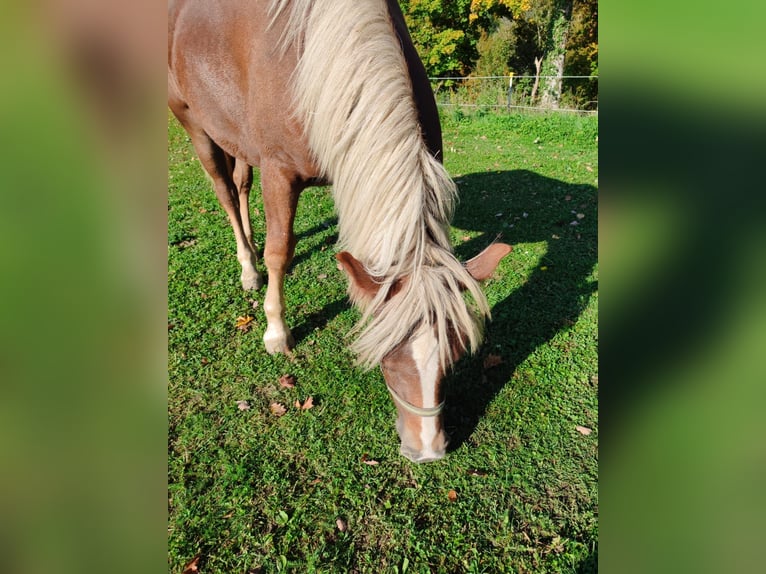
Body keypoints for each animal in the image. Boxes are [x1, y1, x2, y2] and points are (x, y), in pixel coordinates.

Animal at [168, 0, 511, 462]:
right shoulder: (279, 172)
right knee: (224, 191)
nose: (427, 450)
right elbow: (280, 251)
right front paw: (276, 331)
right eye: (387, 355)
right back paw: (248, 267)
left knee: (240, 183)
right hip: (195, 125)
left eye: (454, 355)